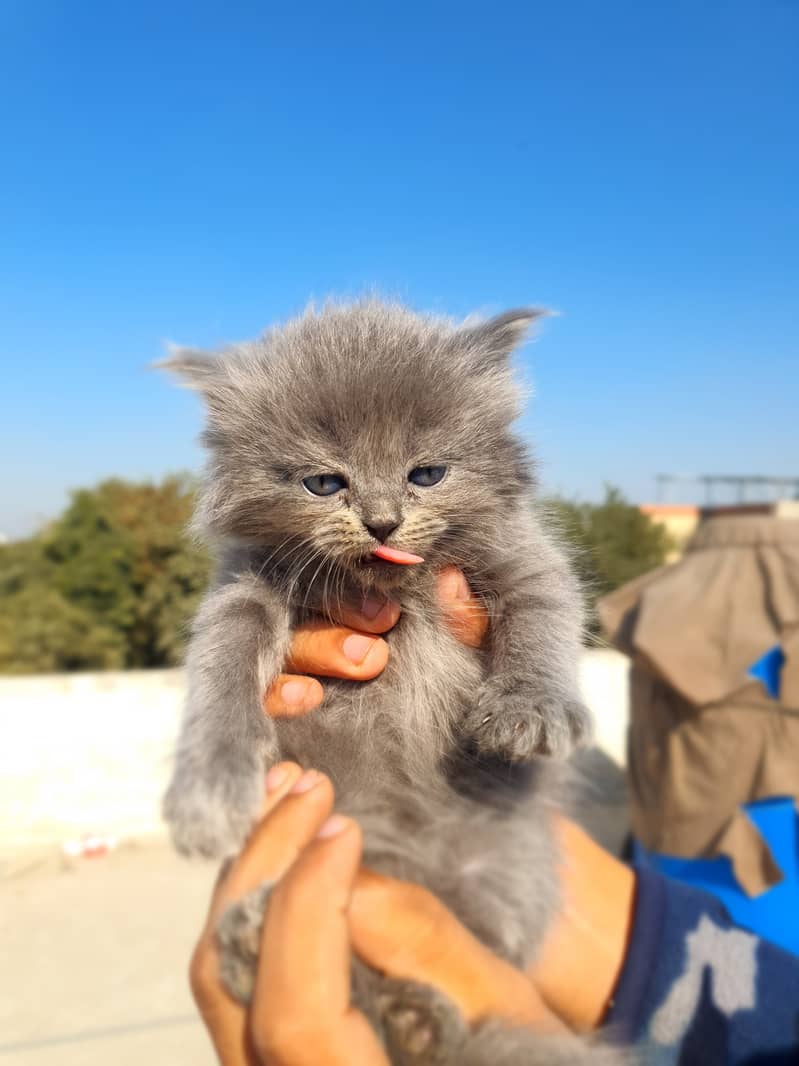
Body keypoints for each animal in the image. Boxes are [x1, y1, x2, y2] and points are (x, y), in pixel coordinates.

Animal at [162, 302, 626, 1066]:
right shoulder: (243, 589)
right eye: (325, 484)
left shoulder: (523, 555)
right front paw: (208, 790)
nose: (382, 521)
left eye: (427, 474)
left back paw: (418, 1020)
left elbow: (546, 612)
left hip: (499, 876)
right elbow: (219, 666)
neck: (387, 586)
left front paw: (532, 707)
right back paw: (267, 948)